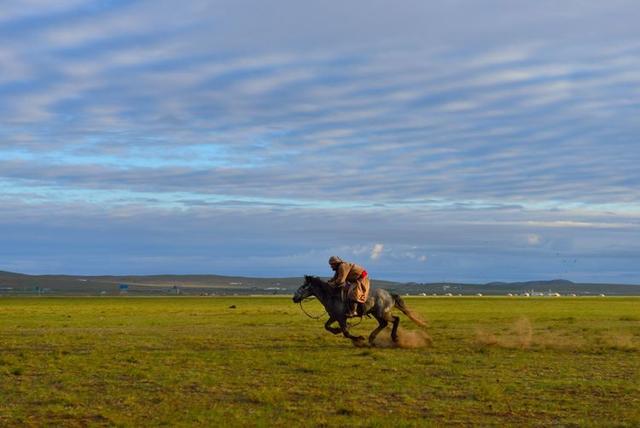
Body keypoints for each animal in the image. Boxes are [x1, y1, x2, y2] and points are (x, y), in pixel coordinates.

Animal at [294, 276, 424, 346]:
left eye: (303, 287)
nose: (294, 298)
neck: (332, 295)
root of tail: (390, 295)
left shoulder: (341, 317)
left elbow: (346, 332)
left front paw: (359, 339)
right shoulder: (334, 317)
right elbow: (327, 326)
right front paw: (337, 330)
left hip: (382, 313)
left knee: (396, 319)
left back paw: (394, 338)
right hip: (376, 314)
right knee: (384, 323)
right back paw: (372, 339)